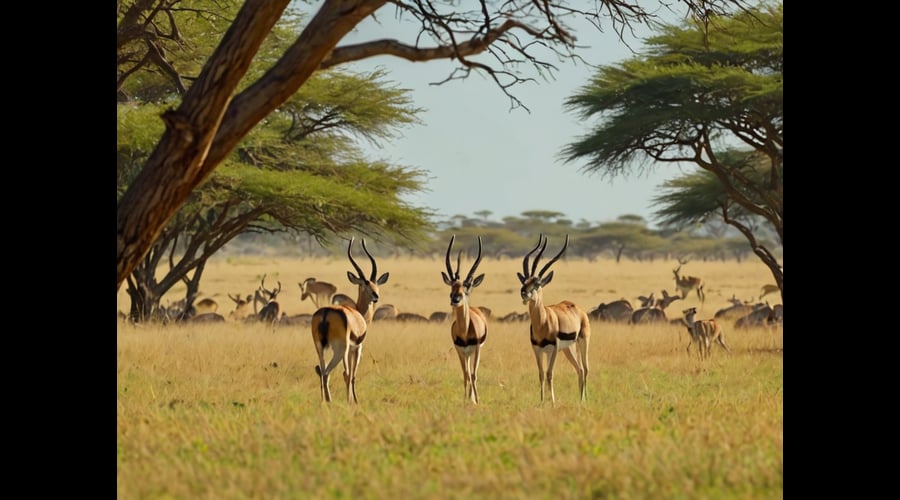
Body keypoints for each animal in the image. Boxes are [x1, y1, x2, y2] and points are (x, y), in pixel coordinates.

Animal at [311, 238, 389, 403]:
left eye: (375, 283)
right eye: (364, 284)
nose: (376, 296)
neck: (358, 313)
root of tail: (326, 313)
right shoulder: (357, 348)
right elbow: (352, 375)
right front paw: (355, 401)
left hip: (320, 347)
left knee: (321, 370)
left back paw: (324, 401)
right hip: (341, 349)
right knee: (336, 373)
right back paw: (336, 401)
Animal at [441, 235, 488, 404]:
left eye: (467, 288)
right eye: (452, 287)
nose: (455, 299)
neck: (465, 332)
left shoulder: (477, 349)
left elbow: (474, 375)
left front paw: (477, 400)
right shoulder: (459, 350)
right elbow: (465, 375)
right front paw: (466, 399)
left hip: (473, 352)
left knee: (472, 373)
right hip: (466, 354)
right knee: (467, 372)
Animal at [517, 234, 591, 403]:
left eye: (537, 283)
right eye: (524, 281)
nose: (523, 293)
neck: (542, 323)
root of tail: (577, 308)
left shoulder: (554, 350)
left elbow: (550, 374)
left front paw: (552, 402)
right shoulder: (538, 350)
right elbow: (541, 374)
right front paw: (542, 401)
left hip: (582, 342)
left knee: (585, 368)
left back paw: (583, 400)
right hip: (569, 349)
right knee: (579, 369)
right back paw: (580, 399)